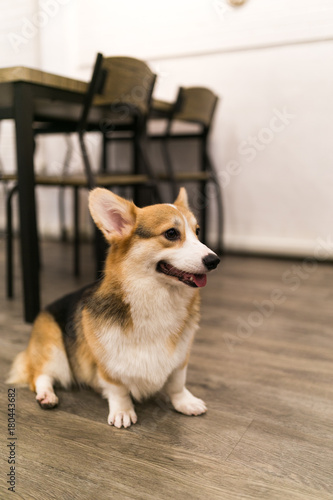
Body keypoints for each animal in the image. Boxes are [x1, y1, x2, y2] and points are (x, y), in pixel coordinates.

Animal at [7, 188, 218, 430]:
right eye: (172, 233)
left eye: (197, 231)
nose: (215, 260)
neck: (156, 298)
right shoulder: (107, 364)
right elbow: (118, 389)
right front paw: (123, 411)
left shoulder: (180, 359)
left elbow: (177, 383)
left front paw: (185, 402)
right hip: (54, 349)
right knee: (40, 375)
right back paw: (46, 396)